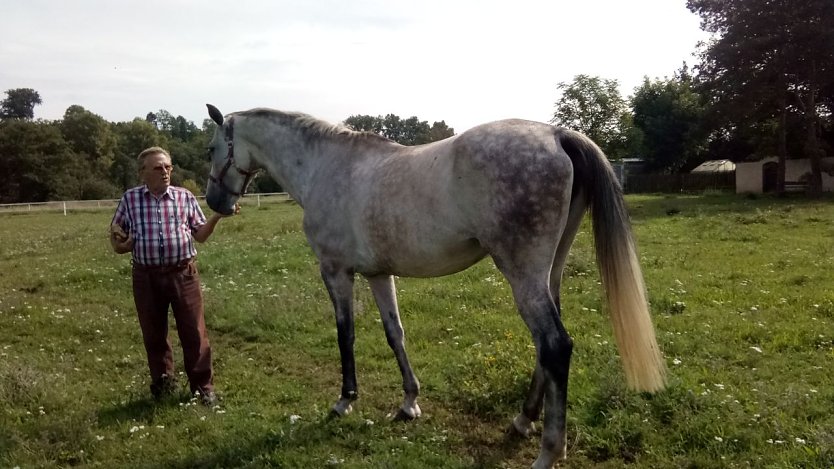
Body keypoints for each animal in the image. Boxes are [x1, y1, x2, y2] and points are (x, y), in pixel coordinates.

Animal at [205, 104, 668, 466]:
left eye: (211, 149)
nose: (215, 203)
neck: (325, 166)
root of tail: (558, 135)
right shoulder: (378, 274)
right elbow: (395, 333)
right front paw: (409, 402)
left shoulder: (335, 271)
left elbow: (345, 335)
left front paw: (345, 400)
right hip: (547, 273)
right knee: (547, 346)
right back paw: (523, 420)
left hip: (523, 275)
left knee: (555, 345)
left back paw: (548, 452)